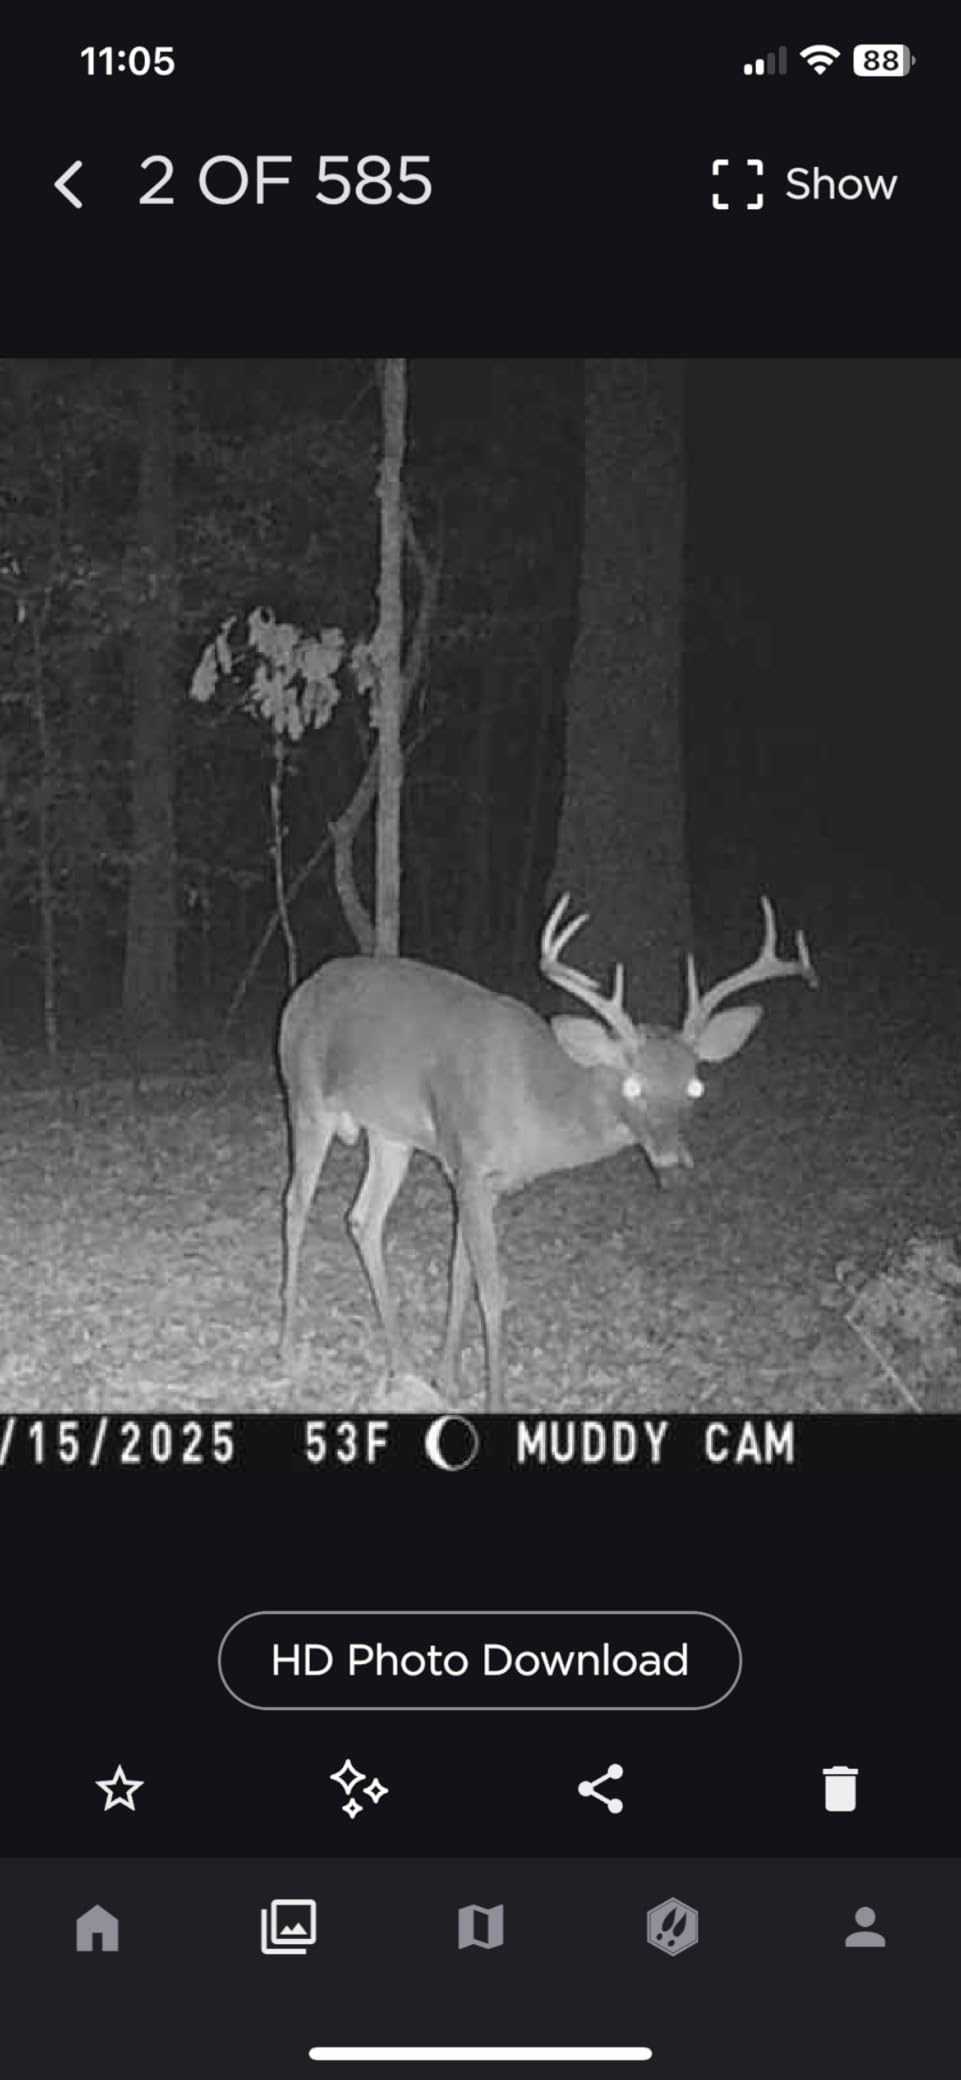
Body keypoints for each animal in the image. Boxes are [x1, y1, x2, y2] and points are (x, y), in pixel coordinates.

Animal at [277, 892, 817, 1408]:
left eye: (695, 1087)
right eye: (634, 1086)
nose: (673, 1162)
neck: (536, 1098)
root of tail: (302, 990)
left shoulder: (484, 1182)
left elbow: (461, 1275)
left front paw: (445, 1380)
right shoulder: (468, 1163)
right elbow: (492, 1290)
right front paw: (495, 1399)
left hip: (391, 1134)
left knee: (362, 1219)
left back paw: (401, 1362)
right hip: (307, 1100)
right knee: (296, 1204)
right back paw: (287, 1334)